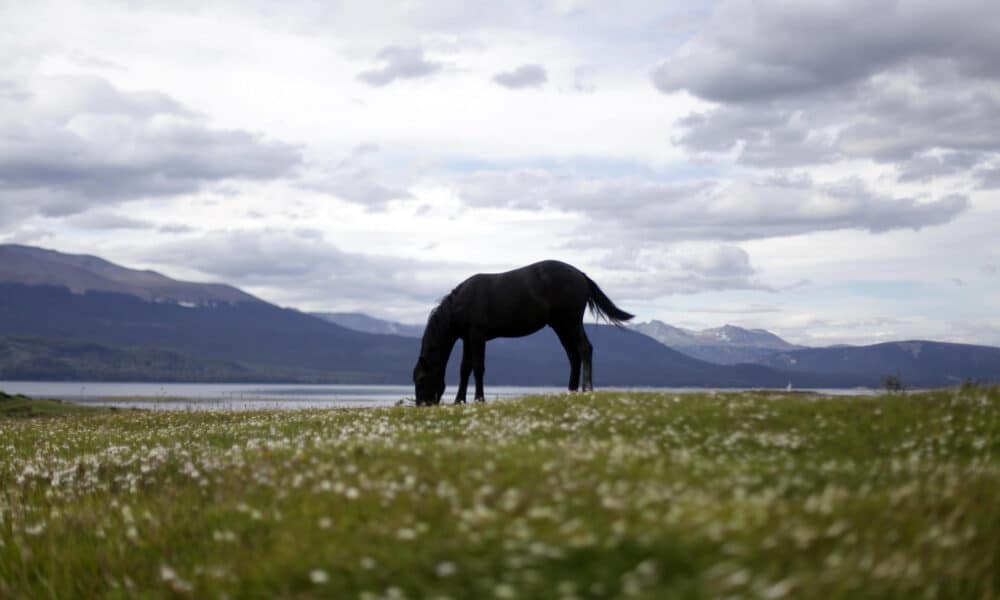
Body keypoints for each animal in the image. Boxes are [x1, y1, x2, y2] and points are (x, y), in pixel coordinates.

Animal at [412, 260, 632, 406]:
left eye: (421, 380)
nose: (422, 405)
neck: (461, 303)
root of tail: (580, 275)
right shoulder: (468, 338)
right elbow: (465, 369)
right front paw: (459, 400)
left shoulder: (477, 336)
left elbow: (478, 367)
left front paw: (479, 399)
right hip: (561, 325)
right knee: (573, 355)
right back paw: (571, 391)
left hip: (571, 321)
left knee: (585, 349)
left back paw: (587, 389)